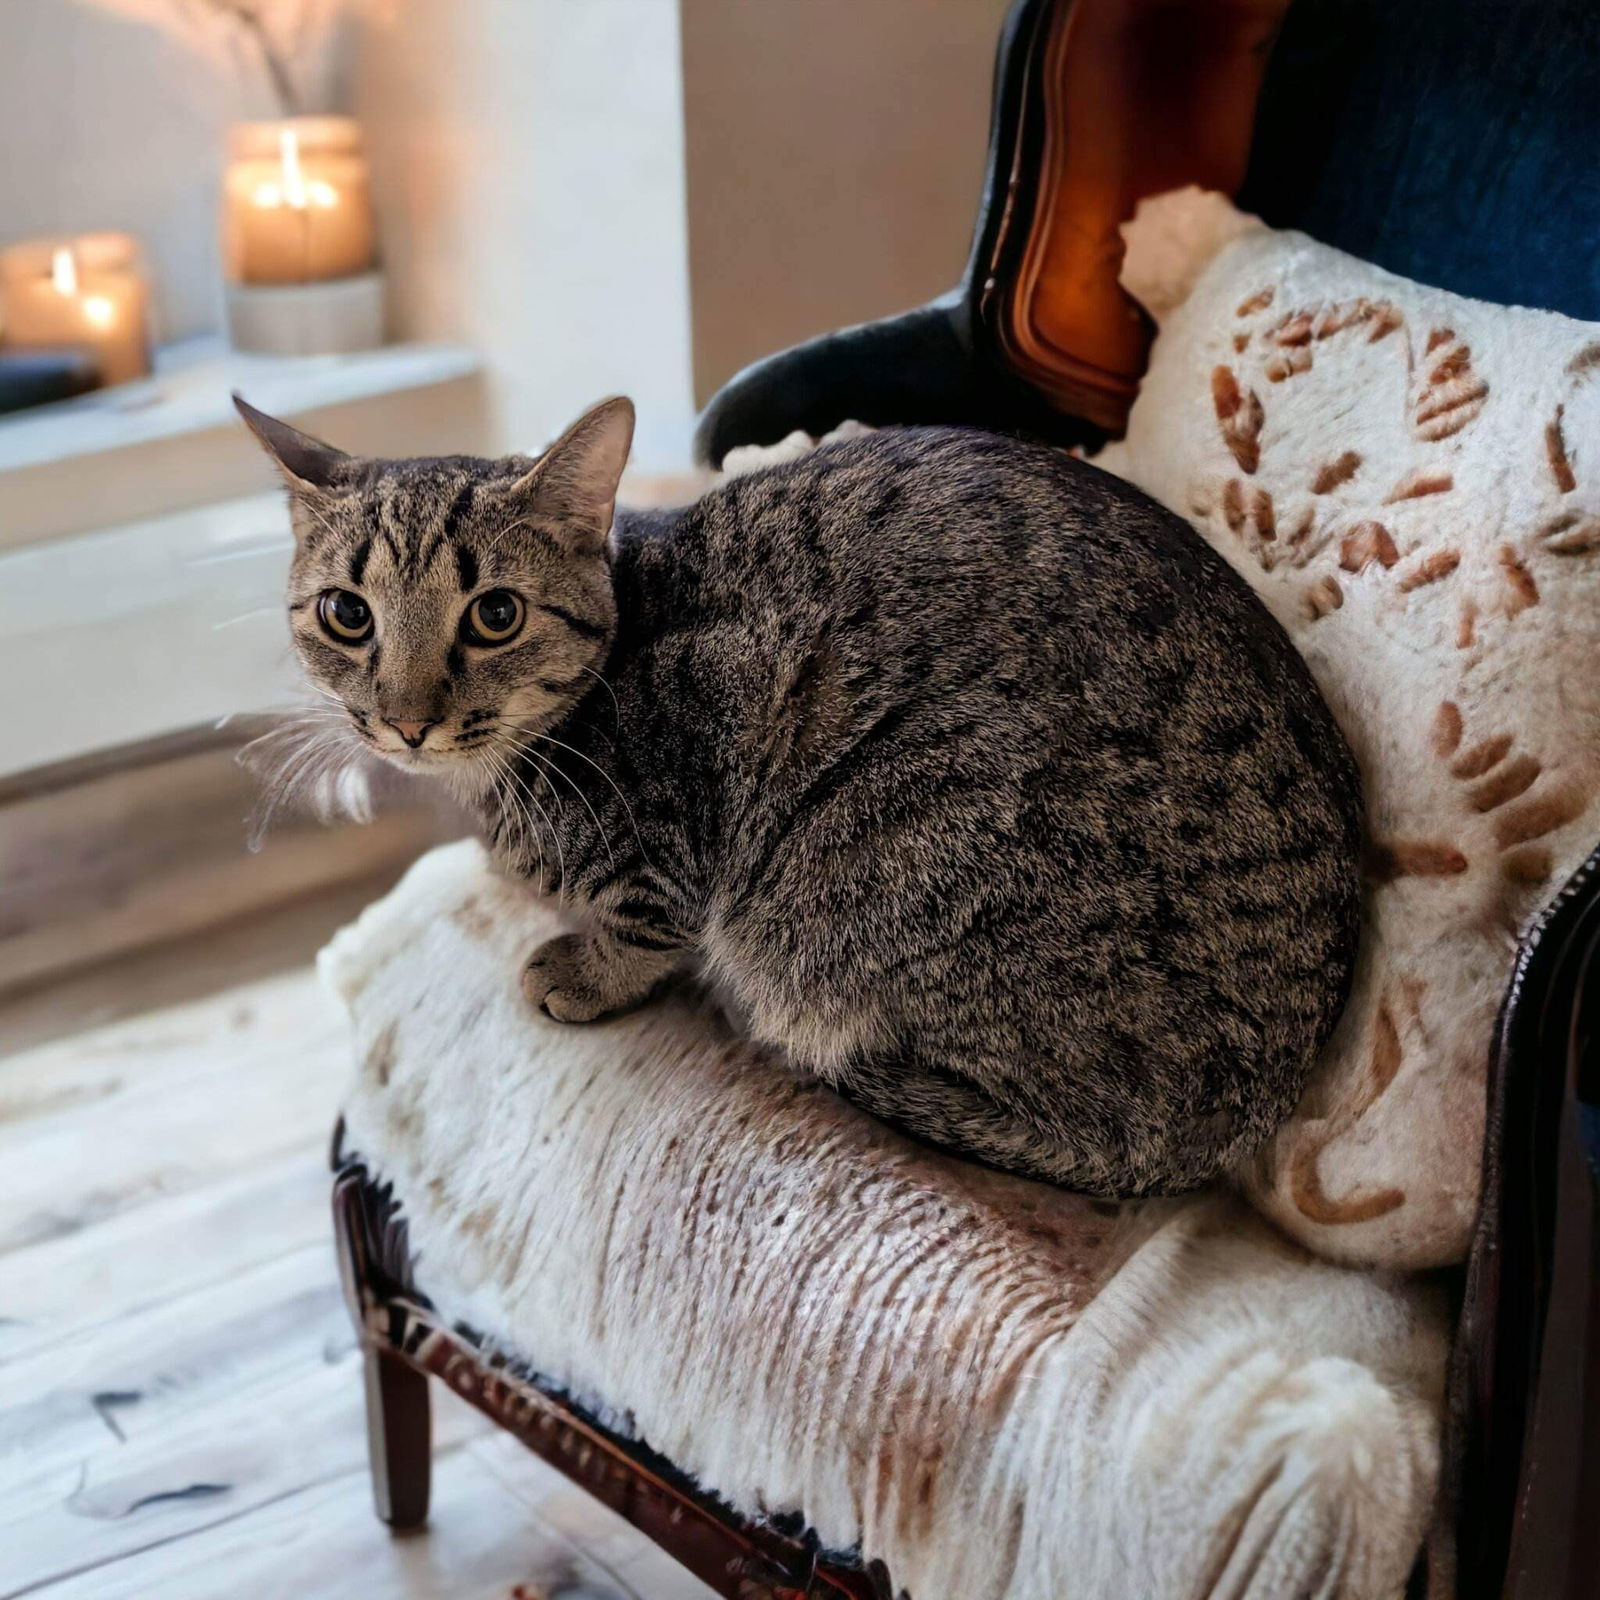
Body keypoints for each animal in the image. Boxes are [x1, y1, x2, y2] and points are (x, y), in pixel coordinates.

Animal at [236, 393, 1363, 1196]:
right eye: (346, 615)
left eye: (495, 614)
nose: (405, 719)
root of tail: (1263, 1101)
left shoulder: (700, 780)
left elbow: (645, 919)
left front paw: (590, 969)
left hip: (891, 844)